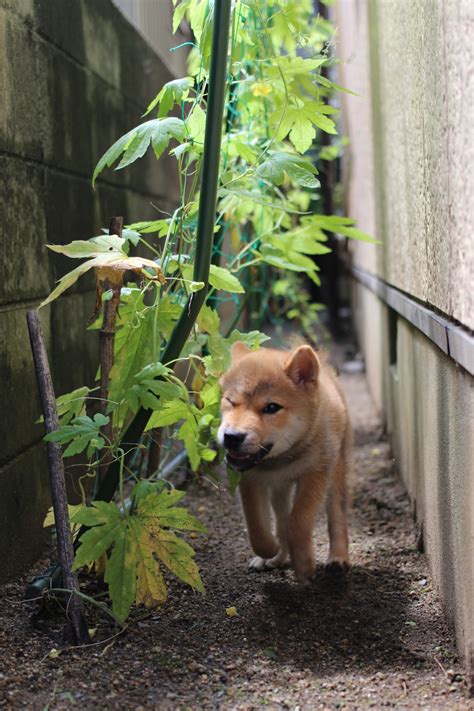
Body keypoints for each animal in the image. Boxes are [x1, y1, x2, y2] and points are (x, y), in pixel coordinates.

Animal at [218, 344, 352, 584]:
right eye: (231, 402)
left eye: (272, 407)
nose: (232, 437)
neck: (280, 461)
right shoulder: (251, 480)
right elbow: (257, 527)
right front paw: (269, 550)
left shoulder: (315, 474)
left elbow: (298, 520)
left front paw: (305, 565)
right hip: (279, 490)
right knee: (281, 520)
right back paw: (277, 557)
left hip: (336, 468)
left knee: (336, 513)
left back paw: (338, 558)